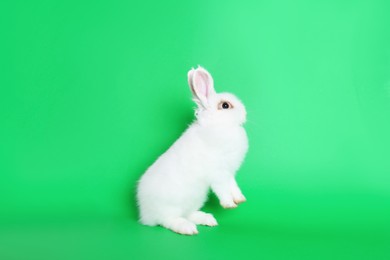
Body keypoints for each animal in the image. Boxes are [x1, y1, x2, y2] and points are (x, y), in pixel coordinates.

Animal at [136, 66, 247, 235]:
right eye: (225, 105)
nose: (245, 112)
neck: (218, 125)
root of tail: (145, 214)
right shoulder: (218, 173)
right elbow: (223, 189)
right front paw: (229, 204)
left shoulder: (229, 172)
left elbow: (233, 186)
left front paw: (240, 199)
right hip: (171, 207)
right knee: (168, 220)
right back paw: (187, 228)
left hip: (195, 199)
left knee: (188, 214)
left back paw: (207, 219)